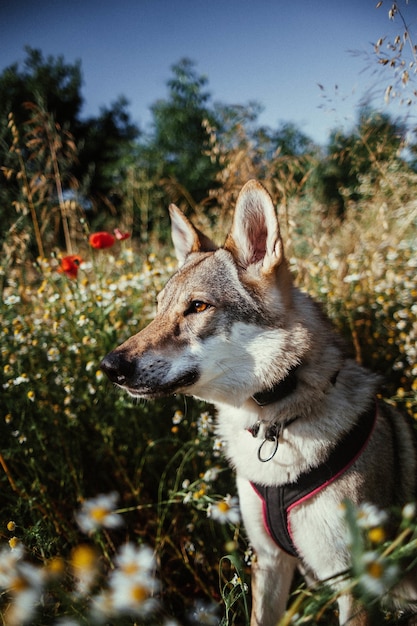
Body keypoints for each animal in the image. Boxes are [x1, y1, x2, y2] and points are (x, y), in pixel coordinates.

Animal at [101, 180, 416, 624]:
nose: (109, 367)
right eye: (158, 308)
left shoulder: (354, 583)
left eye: (198, 306)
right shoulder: (268, 561)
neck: (274, 426)